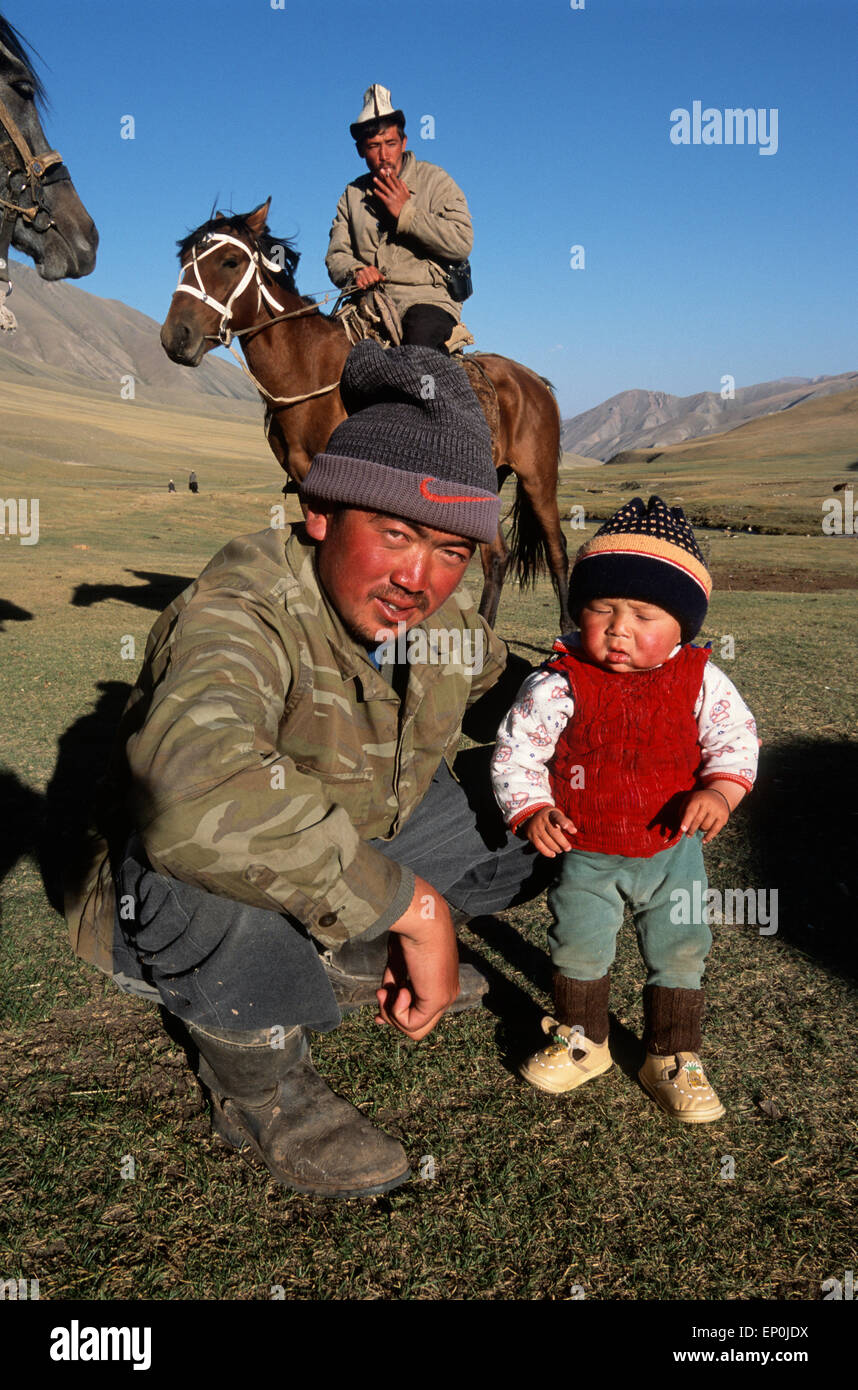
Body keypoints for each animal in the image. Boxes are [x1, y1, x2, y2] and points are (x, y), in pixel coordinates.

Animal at [159, 198, 570, 628]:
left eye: (230, 261)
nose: (176, 337)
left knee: (556, 546)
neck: (311, 369)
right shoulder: (308, 481)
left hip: (538, 479)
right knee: (497, 556)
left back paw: (568, 627)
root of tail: (535, 382)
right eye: (184, 260)